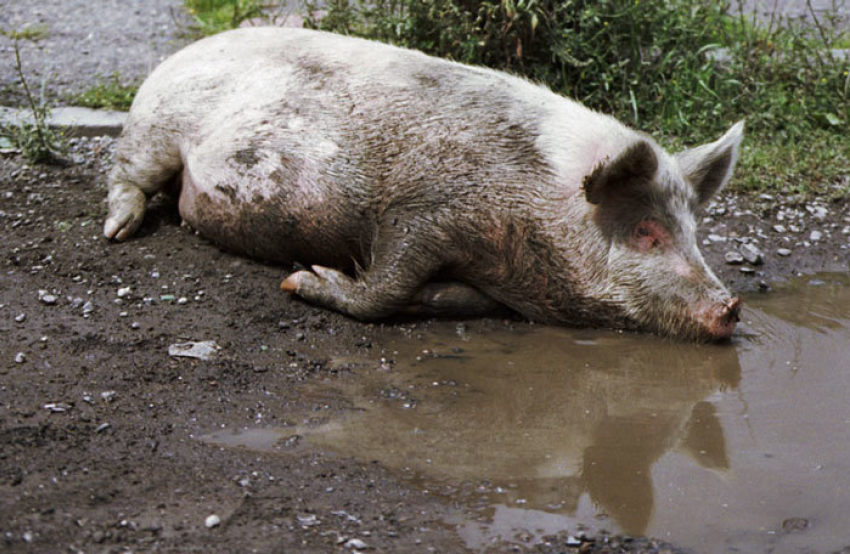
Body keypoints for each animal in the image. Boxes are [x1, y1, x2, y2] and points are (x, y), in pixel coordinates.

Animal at [104, 30, 744, 342]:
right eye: (646, 231)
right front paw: (302, 279)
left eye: (693, 232)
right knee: (127, 172)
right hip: (156, 127)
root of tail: (177, 56)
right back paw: (118, 232)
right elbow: (386, 282)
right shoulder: (422, 208)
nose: (732, 305)